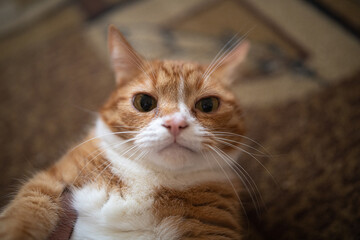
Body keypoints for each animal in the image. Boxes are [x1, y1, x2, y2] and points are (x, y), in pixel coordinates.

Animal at [0, 24, 250, 240]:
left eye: (208, 105)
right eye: (144, 102)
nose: (175, 123)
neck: (150, 178)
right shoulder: (49, 184)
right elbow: (23, 217)